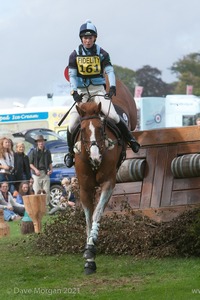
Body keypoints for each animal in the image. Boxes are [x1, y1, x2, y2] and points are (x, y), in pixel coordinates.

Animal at [73, 79, 138, 274]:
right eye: (83, 130)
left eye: (101, 128)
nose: (95, 157)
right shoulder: (85, 188)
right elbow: (88, 218)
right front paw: (89, 259)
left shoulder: (108, 183)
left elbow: (97, 214)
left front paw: (91, 248)